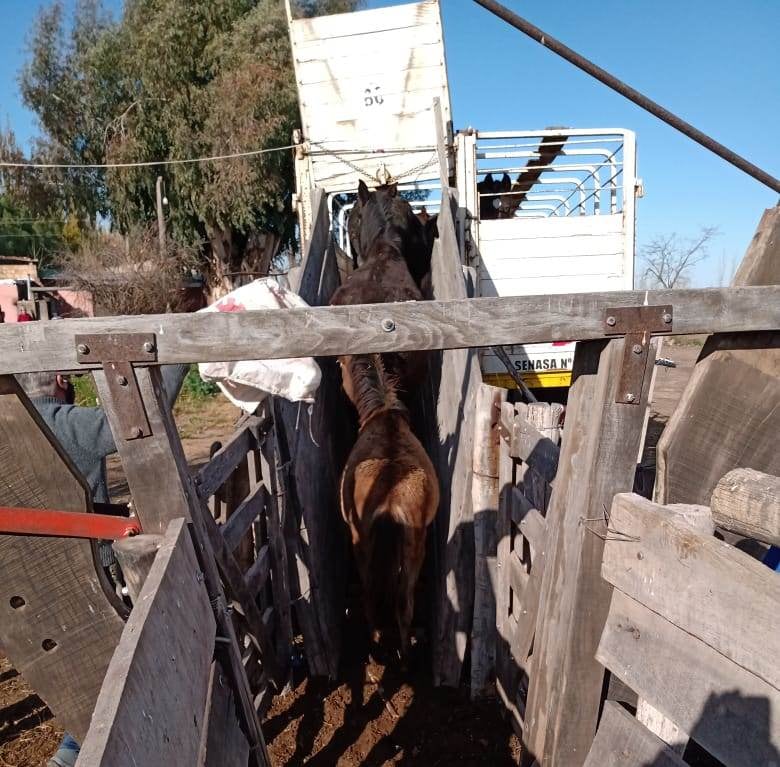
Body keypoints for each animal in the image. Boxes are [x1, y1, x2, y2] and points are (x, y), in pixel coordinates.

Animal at [340, 354, 442, 660]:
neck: (384, 415)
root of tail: (389, 498)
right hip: (411, 545)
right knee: (401, 600)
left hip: (363, 545)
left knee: (373, 594)